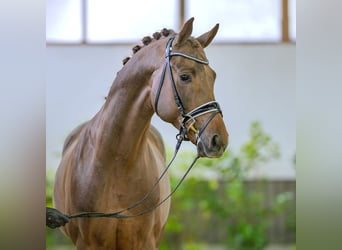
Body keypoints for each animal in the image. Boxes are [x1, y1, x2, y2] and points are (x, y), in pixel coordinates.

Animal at [53, 18, 228, 250]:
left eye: (213, 77)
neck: (116, 162)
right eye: (185, 76)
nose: (219, 140)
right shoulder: (88, 244)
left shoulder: (145, 241)